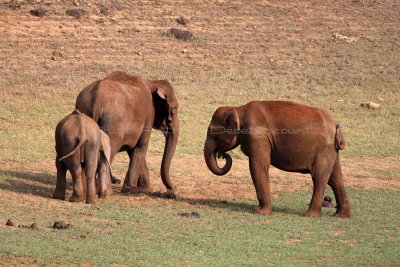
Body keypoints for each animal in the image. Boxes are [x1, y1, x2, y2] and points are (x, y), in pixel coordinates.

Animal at [205, 101, 352, 219]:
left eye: (212, 131)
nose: (223, 155)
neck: (239, 109)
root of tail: (336, 126)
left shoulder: (258, 137)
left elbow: (258, 166)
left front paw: (260, 212)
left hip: (323, 150)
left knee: (319, 177)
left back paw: (310, 215)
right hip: (331, 150)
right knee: (335, 178)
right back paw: (341, 215)